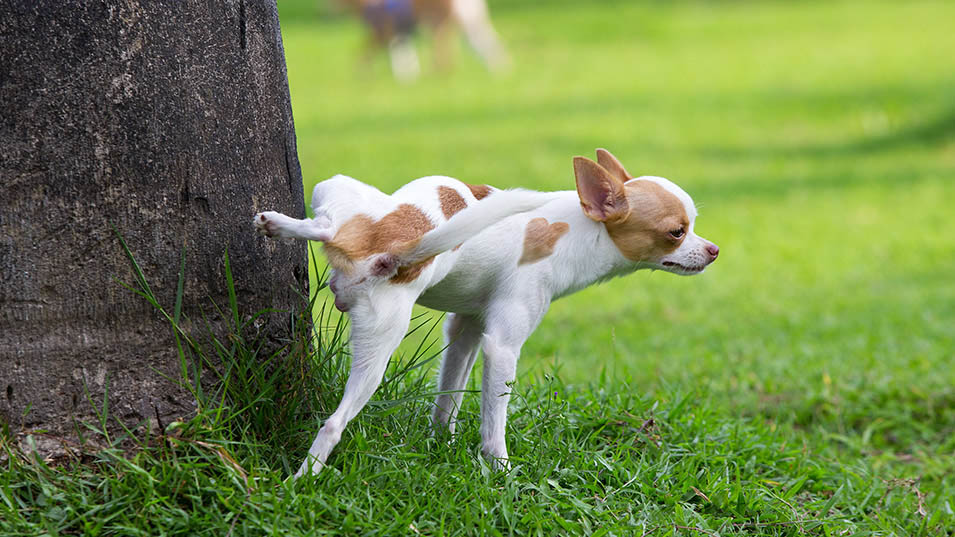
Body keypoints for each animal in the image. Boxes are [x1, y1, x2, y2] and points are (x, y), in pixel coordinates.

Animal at [254, 149, 716, 476]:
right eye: (677, 232)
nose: (713, 250)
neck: (577, 229)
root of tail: (393, 250)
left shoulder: (466, 330)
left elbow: (449, 398)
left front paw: (440, 445)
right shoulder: (502, 348)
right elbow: (494, 422)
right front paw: (501, 473)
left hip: (359, 264)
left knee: (327, 227)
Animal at [342, 0, 512, 80]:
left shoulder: (382, 34)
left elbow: (364, 56)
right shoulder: (399, 35)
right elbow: (403, 58)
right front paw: (408, 77)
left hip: (439, 24)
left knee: (447, 54)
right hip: (466, 22)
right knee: (483, 44)